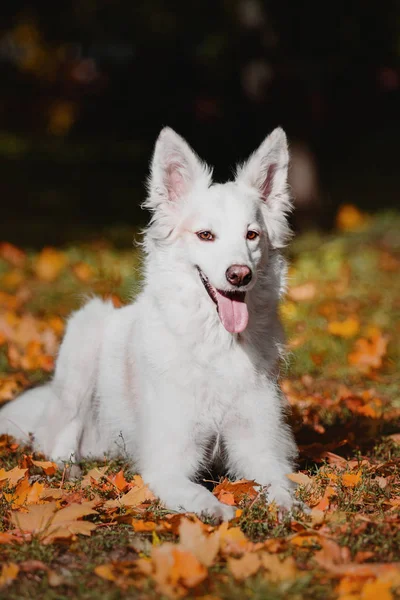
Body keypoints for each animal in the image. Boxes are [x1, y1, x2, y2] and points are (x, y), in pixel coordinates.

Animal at [0, 126, 296, 520]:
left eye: (252, 235)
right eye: (206, 235)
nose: (240, 275)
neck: (216, 345)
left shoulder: (261, 449)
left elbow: (281, 487)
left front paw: (290, 511)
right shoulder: (167, 464)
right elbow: (200, 497)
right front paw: (221, 513)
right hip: (86, 330)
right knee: (59, 439)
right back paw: (70, 473)